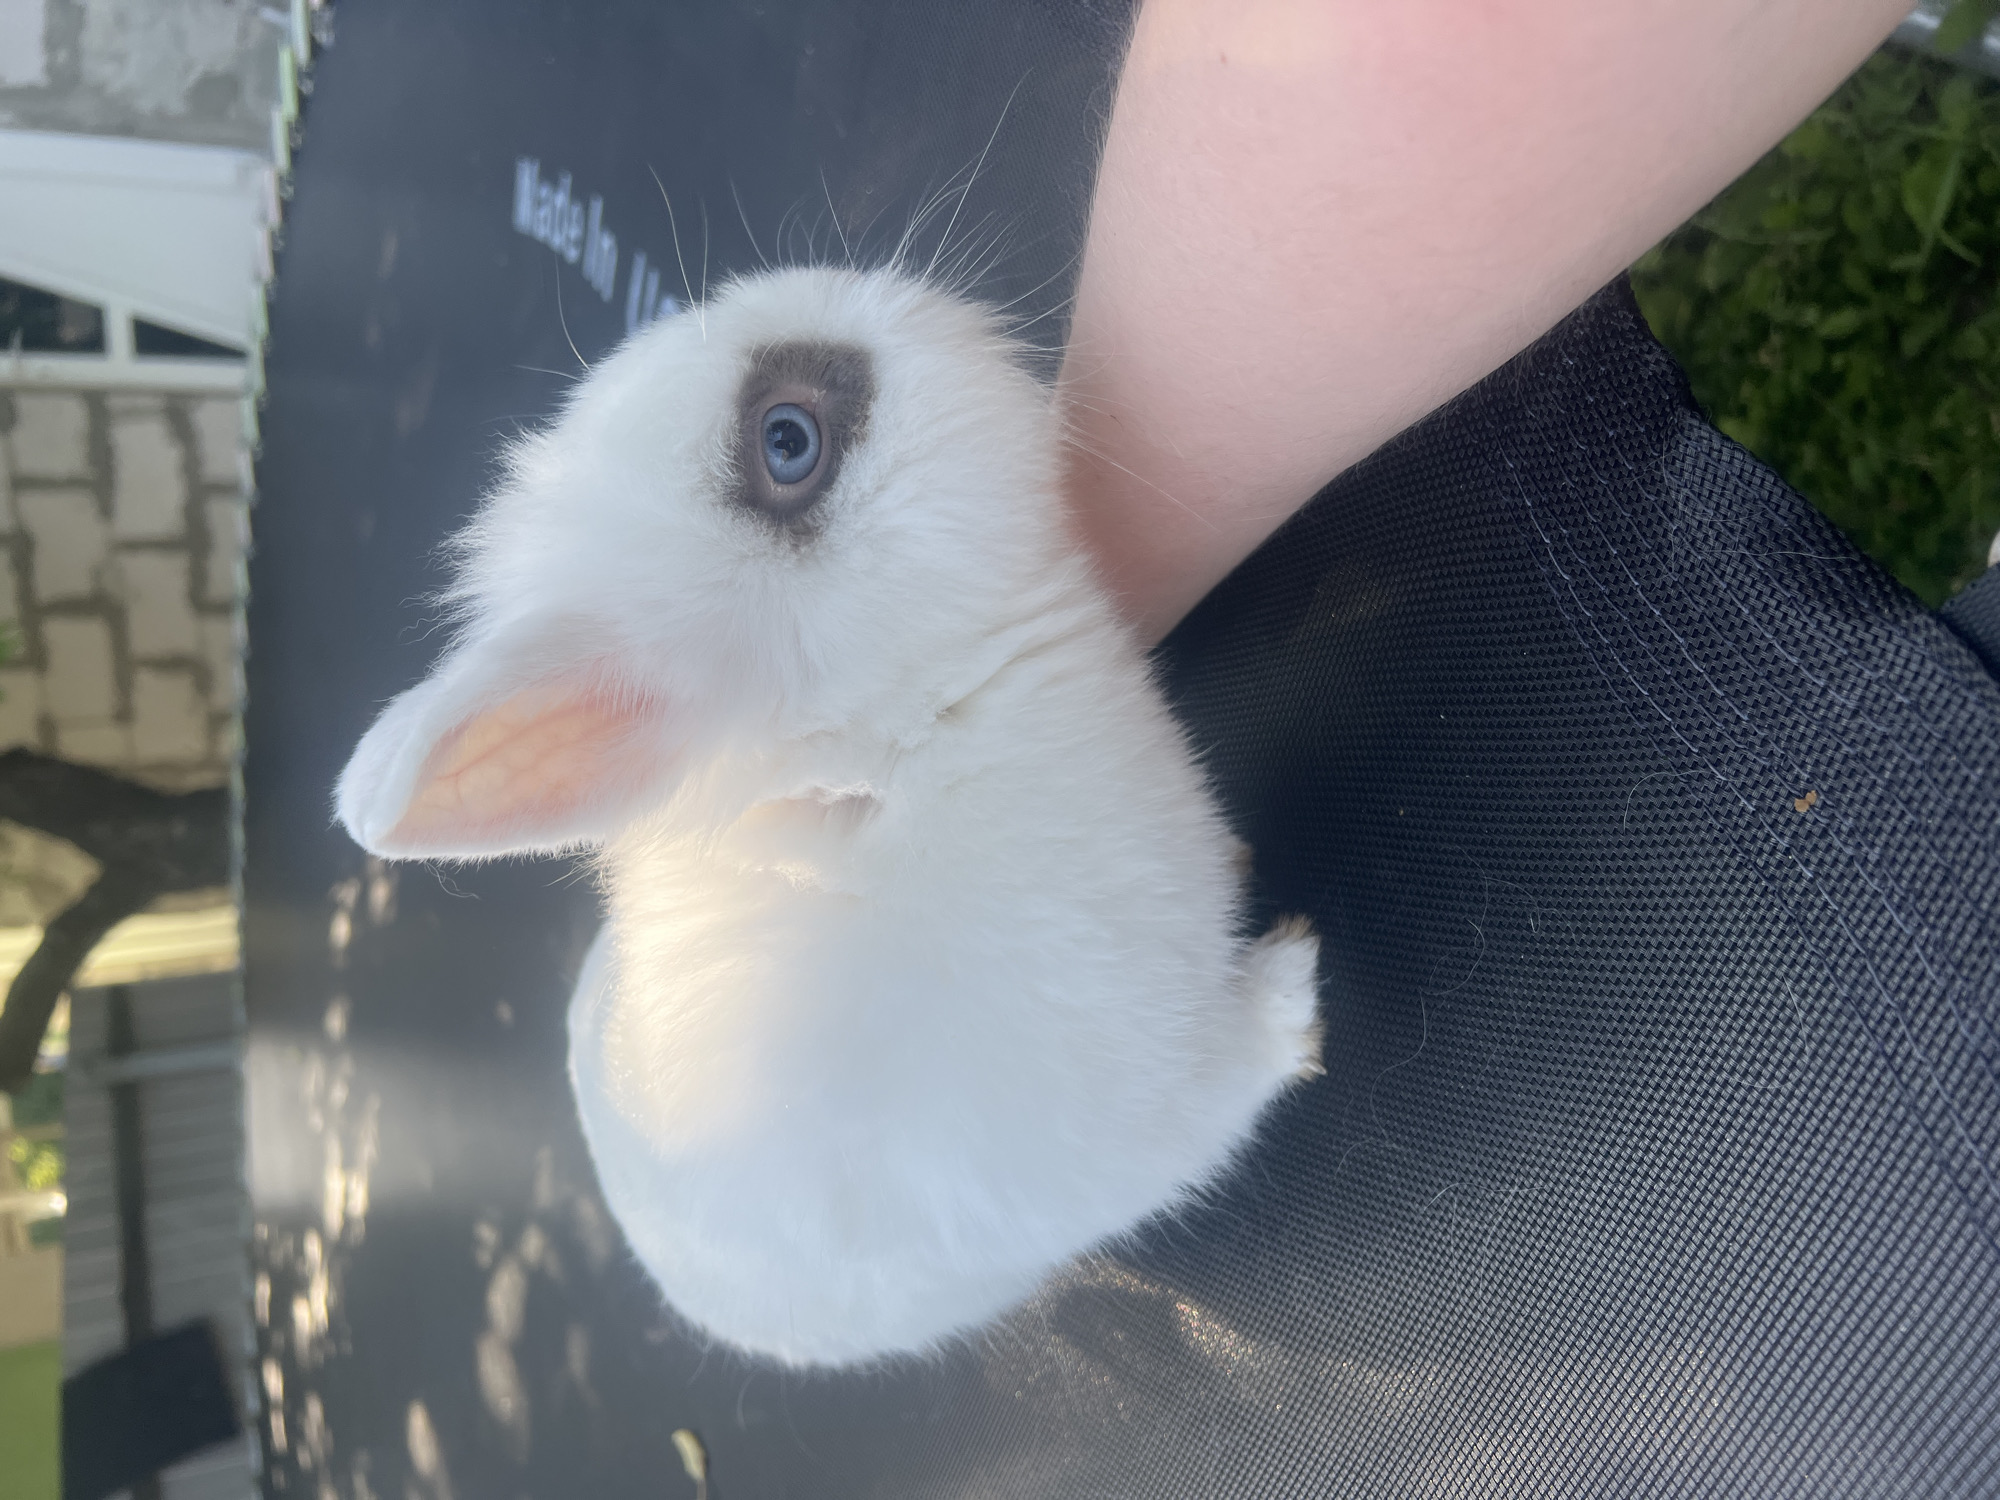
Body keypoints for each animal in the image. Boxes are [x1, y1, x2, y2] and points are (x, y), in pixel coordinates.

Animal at [335, 264, 1324, 1368]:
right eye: (787, 442)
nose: (870, 286)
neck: (894, 756)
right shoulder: (1142, 1108)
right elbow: (1226, 1094)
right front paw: (1296, 1001)